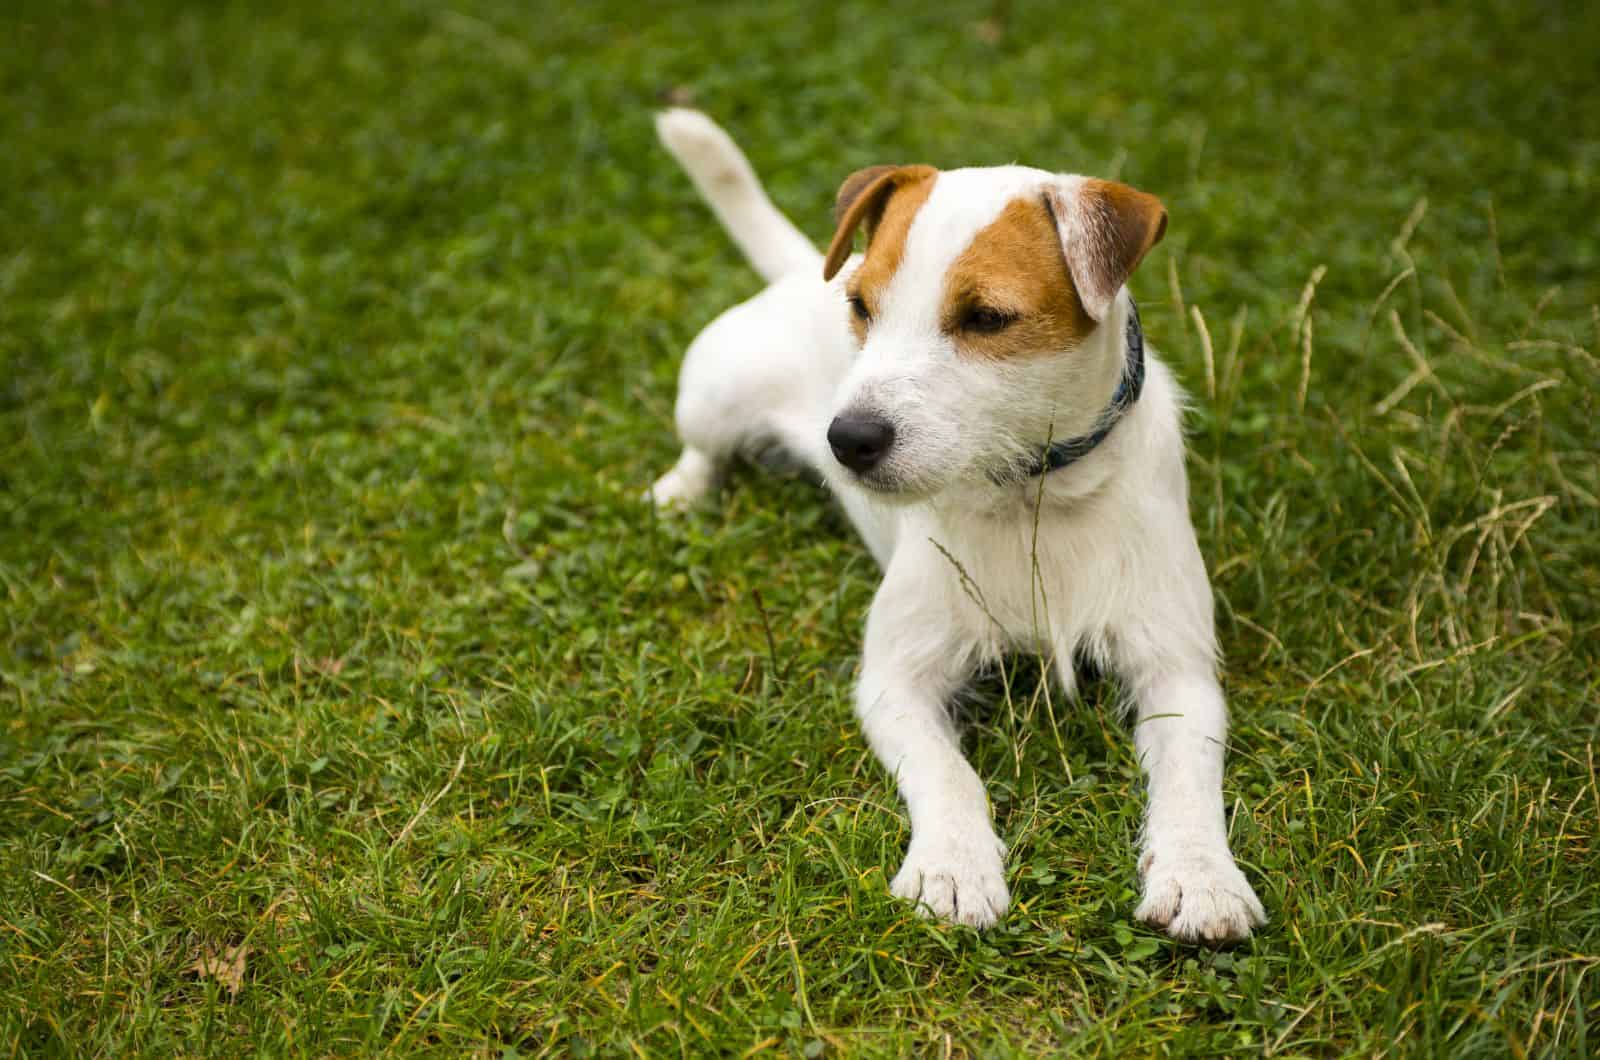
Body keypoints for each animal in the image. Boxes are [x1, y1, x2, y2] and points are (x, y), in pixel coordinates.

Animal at [646, 112, 1260, 947]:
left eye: (986, 318)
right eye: (861, 306)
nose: (846, 440)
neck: (1034, 496)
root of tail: (803, 270)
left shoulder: (1177, 670)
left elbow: (1191, 782)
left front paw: (1201, 877)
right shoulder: (895, 682)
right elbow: (950, 775)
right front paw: (953, 868)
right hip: (711, 396)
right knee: (702, 450)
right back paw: (680, 492)